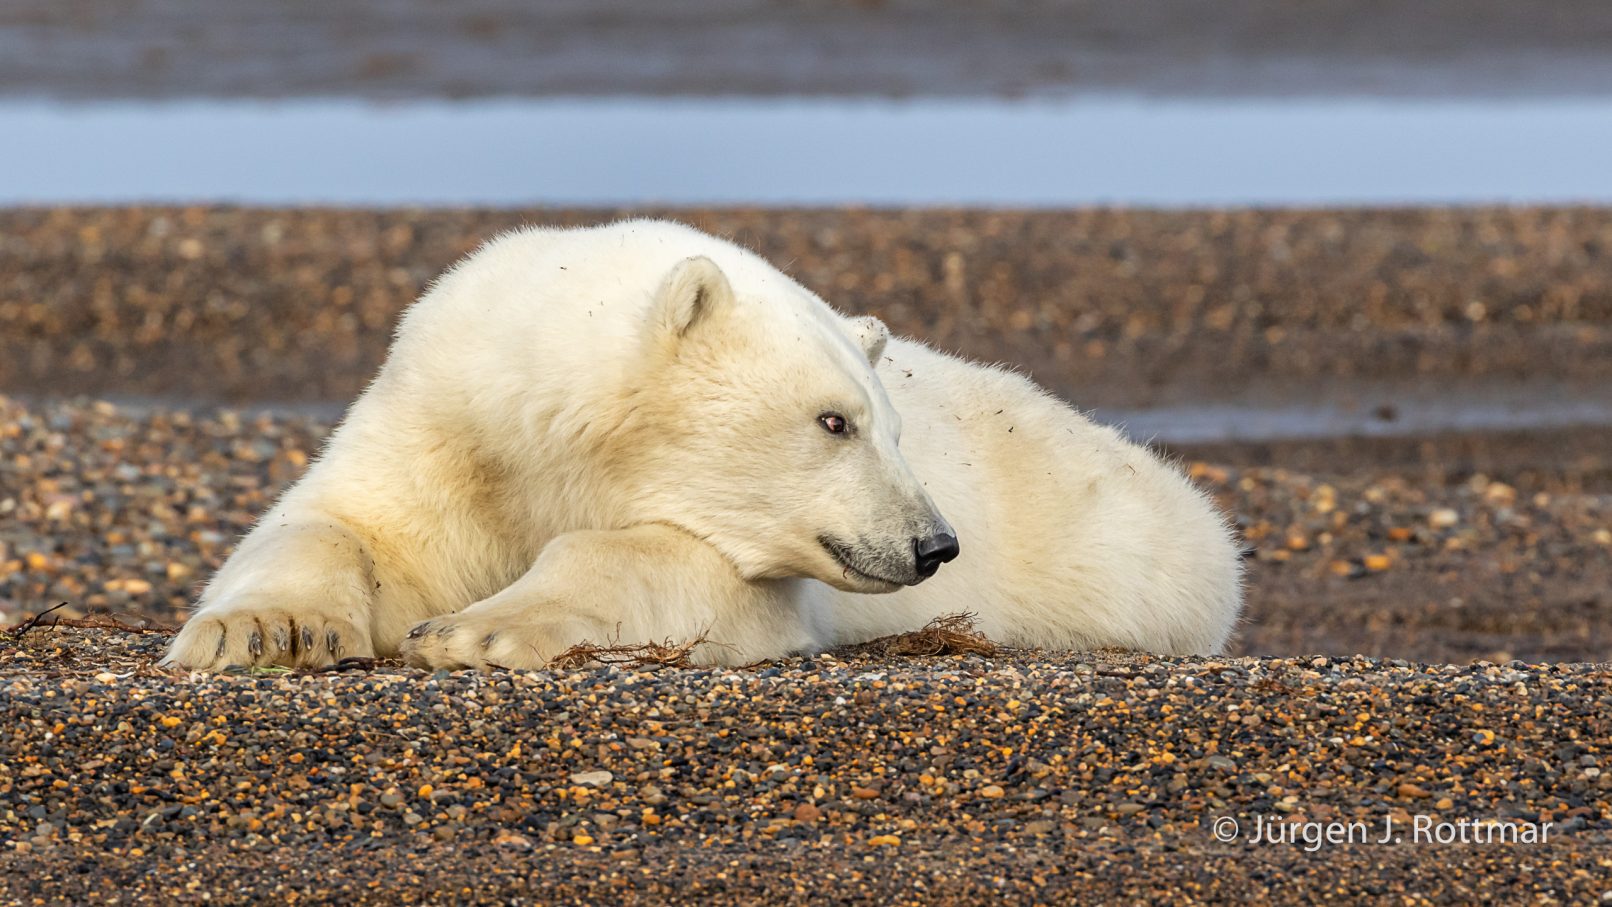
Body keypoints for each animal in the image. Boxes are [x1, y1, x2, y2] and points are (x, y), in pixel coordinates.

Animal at [162, 219, 1243, 672]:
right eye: (835, 420)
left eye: (887, 423)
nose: (934, 543)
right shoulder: (441, 422)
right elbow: (341, 522)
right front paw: (262, 632)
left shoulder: (758, 571)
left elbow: (671, 568)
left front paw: (475, 630)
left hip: (1123, 547)